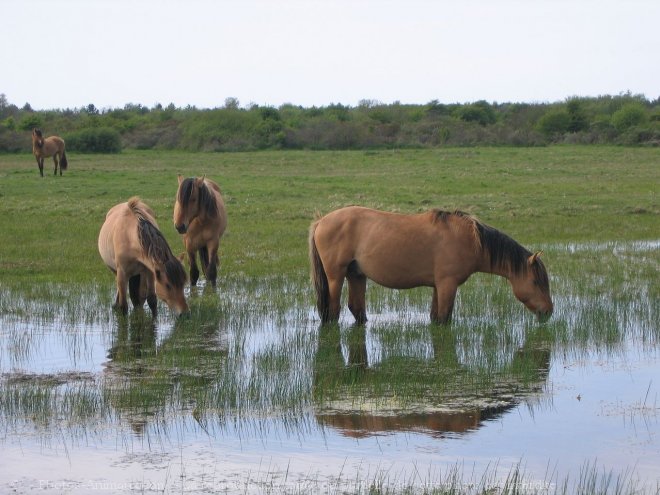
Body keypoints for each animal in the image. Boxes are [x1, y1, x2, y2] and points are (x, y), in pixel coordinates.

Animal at [308, 206, 552, 326]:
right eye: (535, 282)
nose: (548, 312)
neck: (470, 240)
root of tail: (321, 221)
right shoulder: (448, 285)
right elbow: (444, 318)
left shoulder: (438, 286)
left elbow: (435, 317)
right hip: (336, 277)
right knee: (332, 311)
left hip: (356, 275)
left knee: (356, 309)